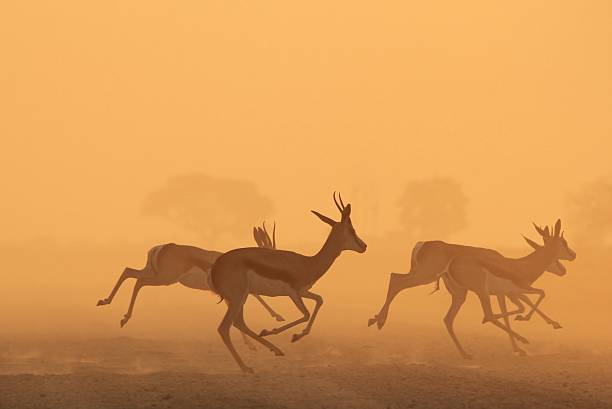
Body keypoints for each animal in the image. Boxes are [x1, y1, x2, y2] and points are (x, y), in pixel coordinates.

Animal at [96, 222, 286, 326]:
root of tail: (161, 247)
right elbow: (256, 295)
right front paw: (278, 316)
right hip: (165, 279)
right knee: (140, 281)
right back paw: (124, 318)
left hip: (153, 272)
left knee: (129, 271)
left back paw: (105, 302)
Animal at [210, 193, 364, 372]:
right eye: (352, 230)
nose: (364, 246)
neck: (308, 263)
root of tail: (216, 267)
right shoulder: (293, 292)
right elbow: (306, 314)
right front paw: (288, 334)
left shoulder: (303, 291)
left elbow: (319, 300)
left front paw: (294, 336)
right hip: (238, 297)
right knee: (224, 327)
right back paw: (246, 367)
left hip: (241, 297)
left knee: (239, 323)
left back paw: (275, 349)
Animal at [370, 220, 576, 356]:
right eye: (564, 243)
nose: (572, 256)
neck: (520, 266)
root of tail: (421, 244)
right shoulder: (513, 291)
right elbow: (534, 298)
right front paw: (525, 332)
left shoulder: (505, 294)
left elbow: (520, 307)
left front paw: (520, 345)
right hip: (434, 279)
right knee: (396, 280)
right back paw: (378, 321)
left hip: (458, 292)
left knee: (447, 317)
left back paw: (465, 353)